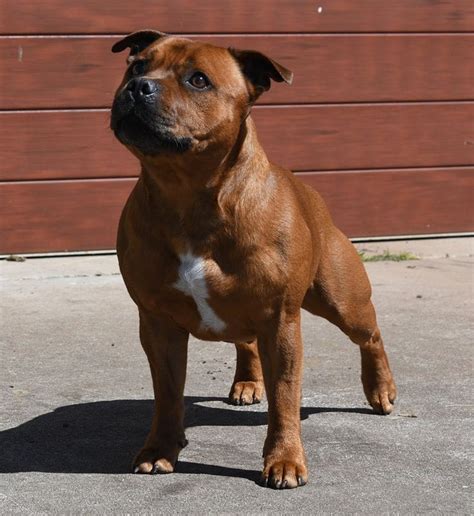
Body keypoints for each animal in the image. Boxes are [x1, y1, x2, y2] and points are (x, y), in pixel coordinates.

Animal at [111, 30, 396, 490]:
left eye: (198, 80)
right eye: (137, 65)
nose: (139, 87)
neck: (188, 195)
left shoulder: (280, 322)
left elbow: (285, 398)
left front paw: (284, 461)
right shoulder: (158, 323)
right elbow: (167, 394)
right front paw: (160, 450)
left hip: (341, 300)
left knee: (369, 335)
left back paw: (381, 390)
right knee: (244, 342)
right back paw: (246, 383)